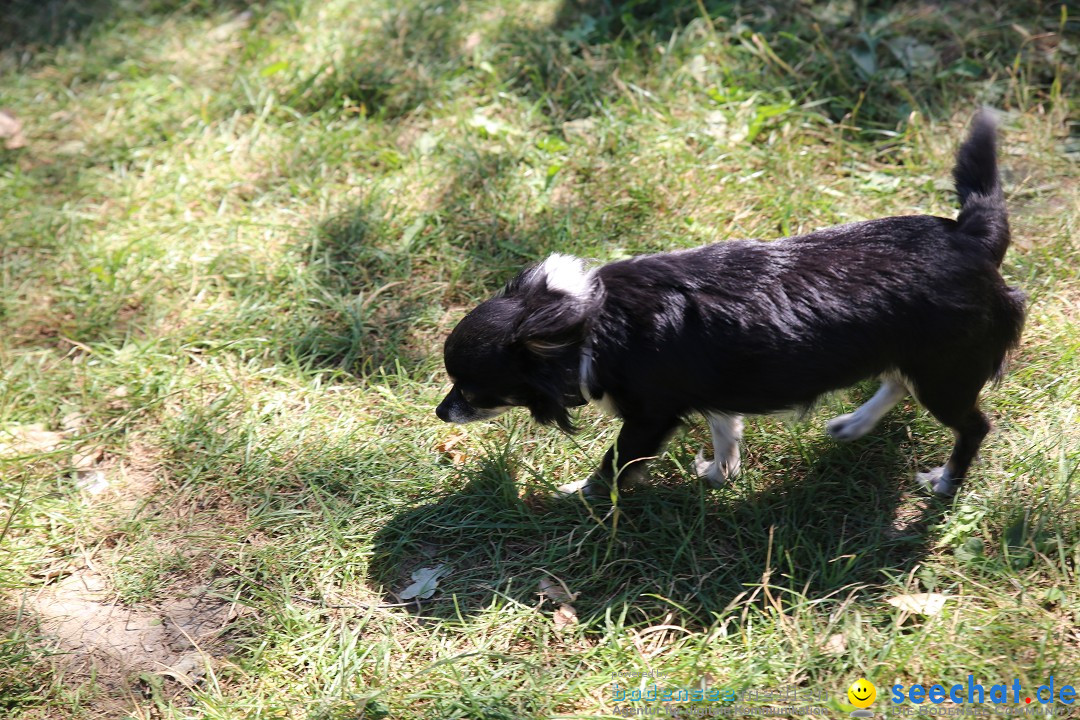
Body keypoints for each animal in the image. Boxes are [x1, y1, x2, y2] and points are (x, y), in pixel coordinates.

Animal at [434, 112, 1023, 498]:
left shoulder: (650, 416)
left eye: (471, 389)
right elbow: (725, 431)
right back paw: (853, 425)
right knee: (897, 382)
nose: (440, 412)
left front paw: (582, 492)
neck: (587, 325)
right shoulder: (711, 391)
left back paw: (944, 483)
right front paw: (721, 474)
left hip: (945, 374)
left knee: (971, 427)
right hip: (918, 359)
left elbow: (617, 461)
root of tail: (971, 238)